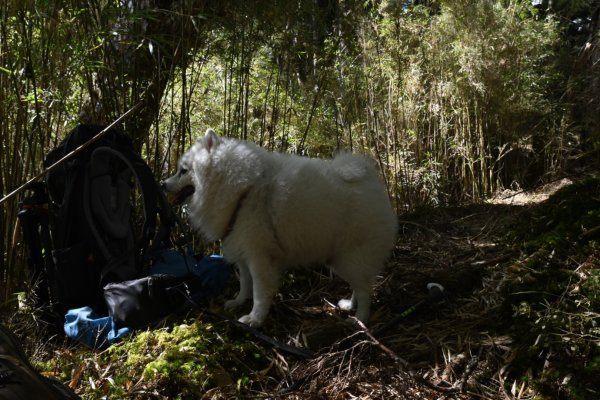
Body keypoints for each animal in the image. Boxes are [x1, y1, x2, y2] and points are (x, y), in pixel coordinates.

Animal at [163, 130, 398, 326]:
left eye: (183, 171)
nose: (163, 184)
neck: (240, 191)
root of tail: (369, 179)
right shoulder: (243, 251)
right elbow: (245, 283)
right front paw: (239, 302)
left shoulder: (259, 256)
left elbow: (259, 292)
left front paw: (255, 319)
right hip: (342, 259)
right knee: (360, 285)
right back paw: (350, 305)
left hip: (351, 256)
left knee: (365, 289)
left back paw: (360, 319)